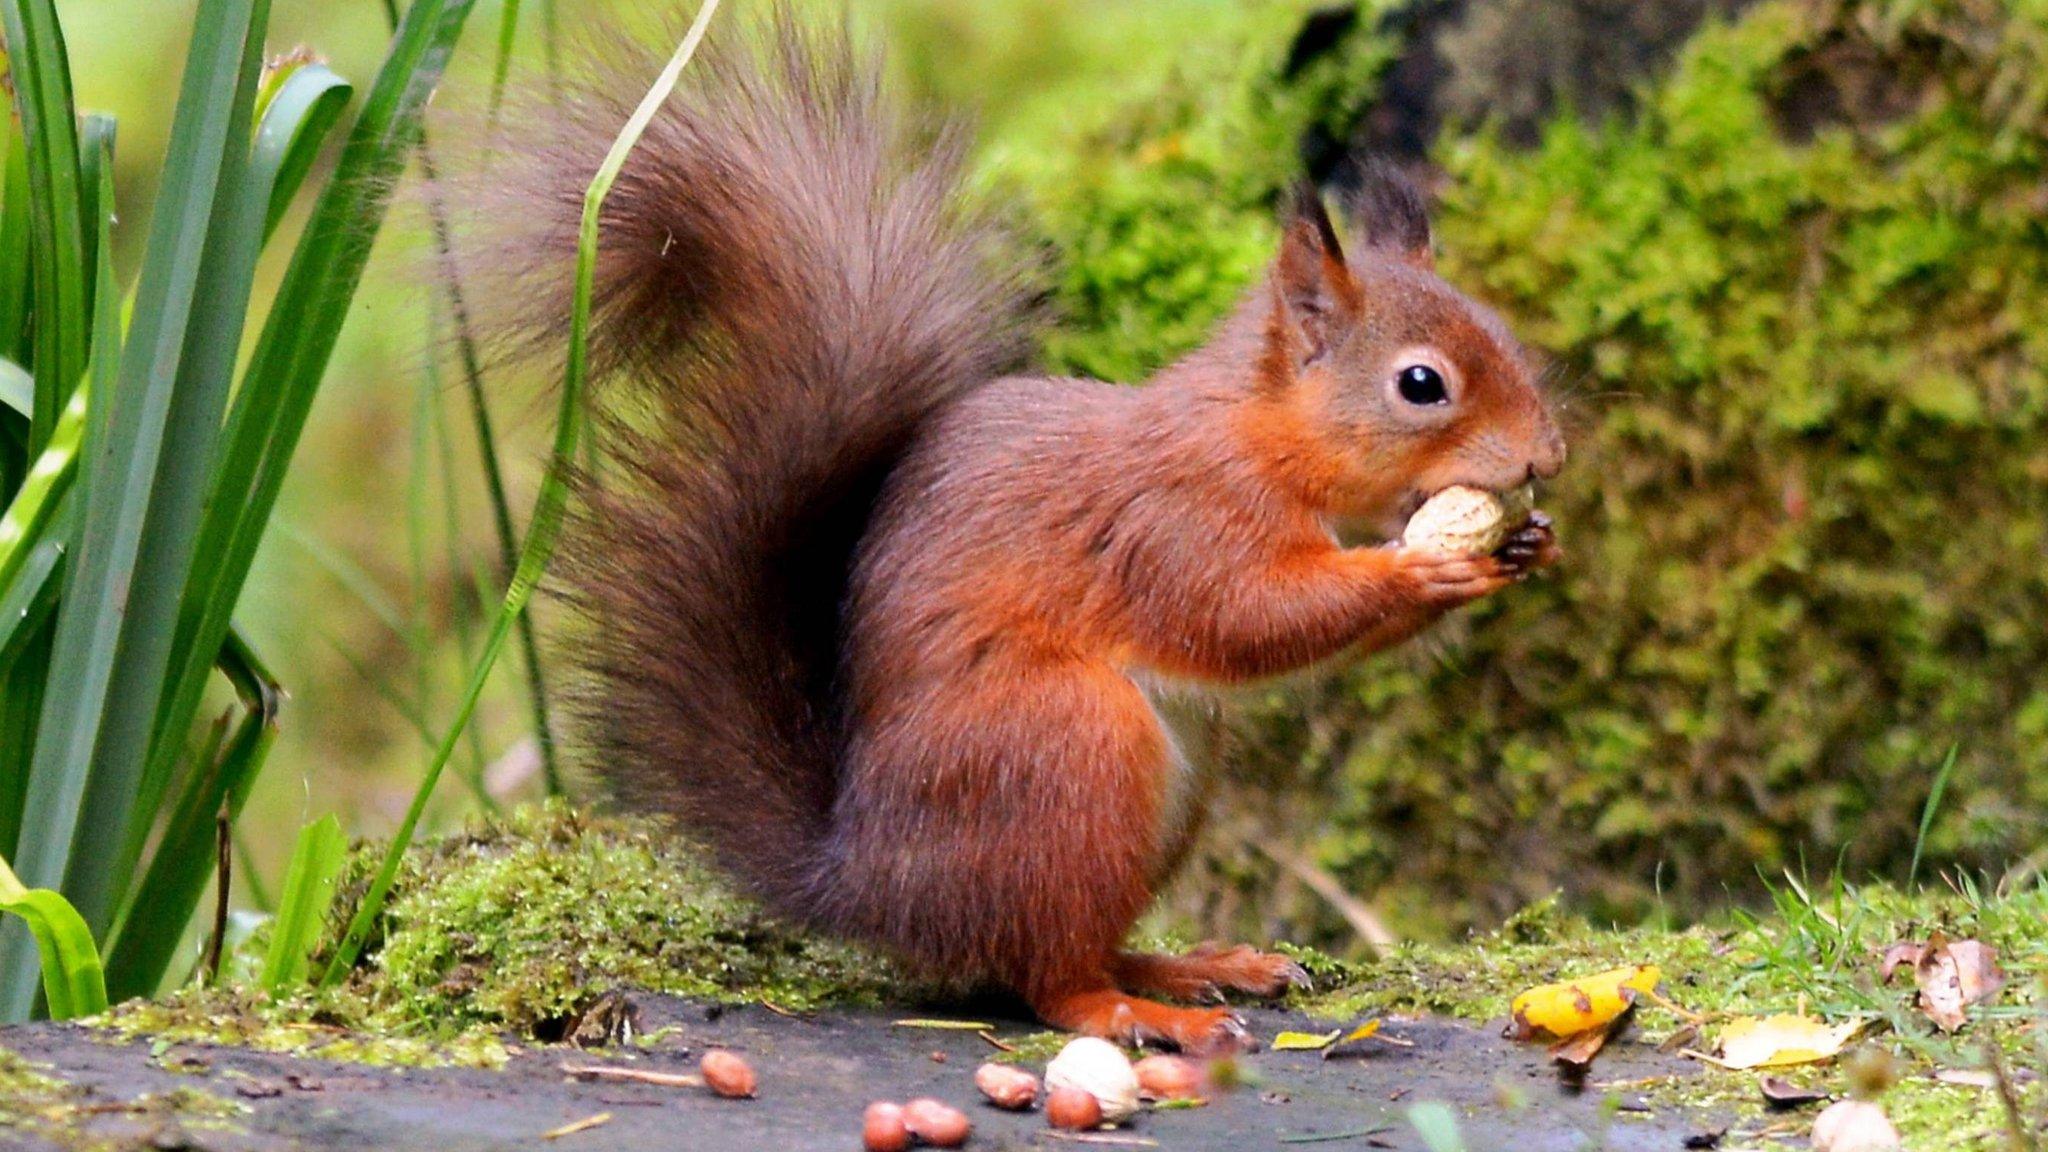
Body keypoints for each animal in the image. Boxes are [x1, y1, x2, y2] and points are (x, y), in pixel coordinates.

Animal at [468, 11, 1564, 1049]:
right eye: (1420, 384)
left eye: (1506, 334)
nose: (1546, 457)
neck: (1254, 436)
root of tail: (872, 884)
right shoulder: (1176, 523)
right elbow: (1247, 618)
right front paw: (1417, 573)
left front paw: (1525, 544)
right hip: (1065, 749)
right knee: (1049, 978)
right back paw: (1144, 1014)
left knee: (1067, 947)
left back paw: (1189, 965)